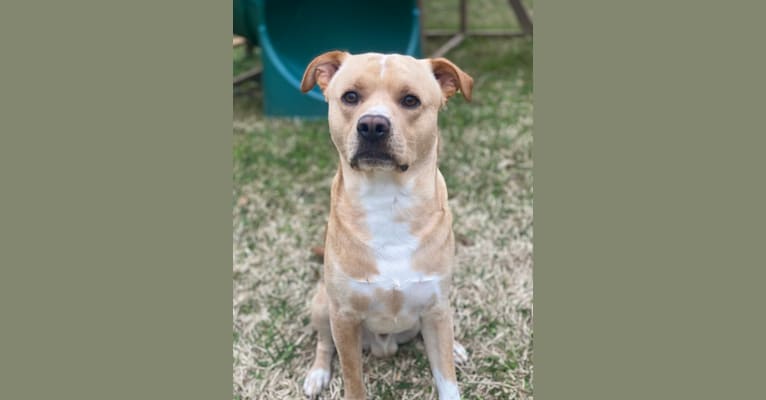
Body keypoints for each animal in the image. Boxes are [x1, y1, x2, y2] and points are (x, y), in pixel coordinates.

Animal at [300, 51, 474, 398]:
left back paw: (456, 347)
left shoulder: (436, 307)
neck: (388, 202)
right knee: (324, 343)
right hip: (323, 303)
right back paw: (317, 374)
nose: (372, 125)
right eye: (350, 96)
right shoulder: (344, 317)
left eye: (410, 100)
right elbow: (353, 379)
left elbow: (447, 379)